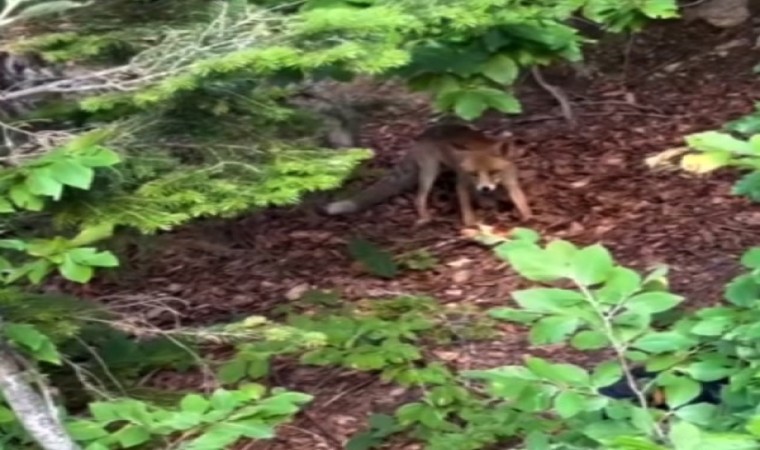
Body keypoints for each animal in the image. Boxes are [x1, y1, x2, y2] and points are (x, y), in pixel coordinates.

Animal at [324, 122, 532, 225]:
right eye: (473, 174)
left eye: (494, 171)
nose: (486, 188)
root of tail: (420, 136)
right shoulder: (463, 183)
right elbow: (466, 206)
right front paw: (470, 223)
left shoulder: (510, 181)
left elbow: (520, 200)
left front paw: (527, 217)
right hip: (430, 172)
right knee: (419, 198)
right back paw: (424, 218)